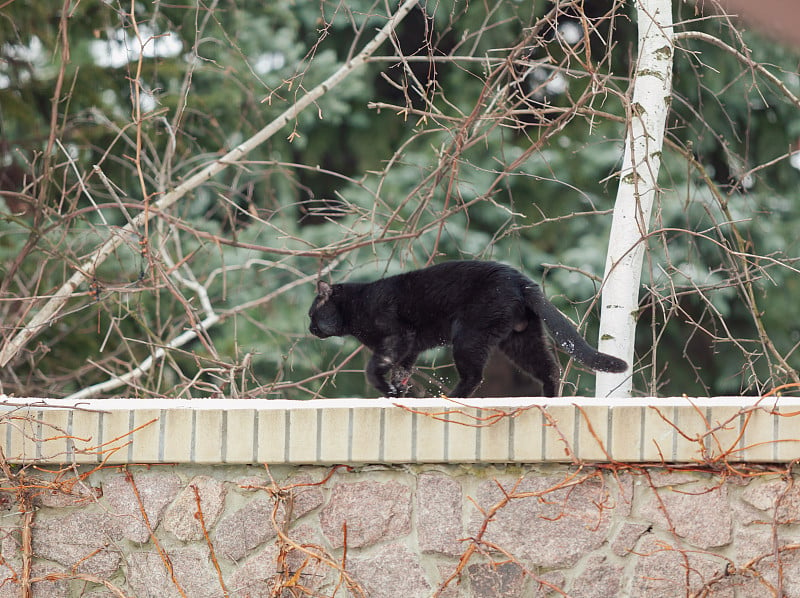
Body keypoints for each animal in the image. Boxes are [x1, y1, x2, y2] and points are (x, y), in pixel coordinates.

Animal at [310, 258, 628, 396]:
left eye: (313, 314)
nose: (311, 329)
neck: (358, 306)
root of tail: (520, 278)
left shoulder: (397, 337)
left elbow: (374, 367)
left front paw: (386, 388)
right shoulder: (409, 349)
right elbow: (401, 370)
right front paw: (397, 391)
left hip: (468, 336)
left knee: (474, 376)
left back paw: (451, 398)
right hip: (519, 338)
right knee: (549, 368)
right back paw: (550, 399)